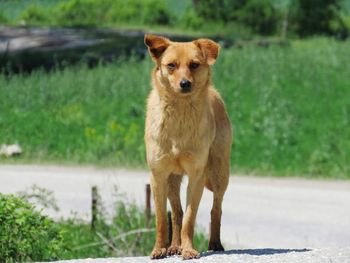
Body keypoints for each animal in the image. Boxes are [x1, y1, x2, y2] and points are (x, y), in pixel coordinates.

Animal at [144, 34, 231, 260]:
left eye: (194, 65)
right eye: (171, 65)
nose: (185, 83)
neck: (179, 111)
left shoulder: (196, 175)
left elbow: (190, 219)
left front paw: (189, 249)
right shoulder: (158, 175)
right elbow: (162, 219)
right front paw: (159, 249)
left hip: (220, 173)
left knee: (216, 209)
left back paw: (215, 243)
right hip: (172, 180)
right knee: (176, 212)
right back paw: (173, 246)